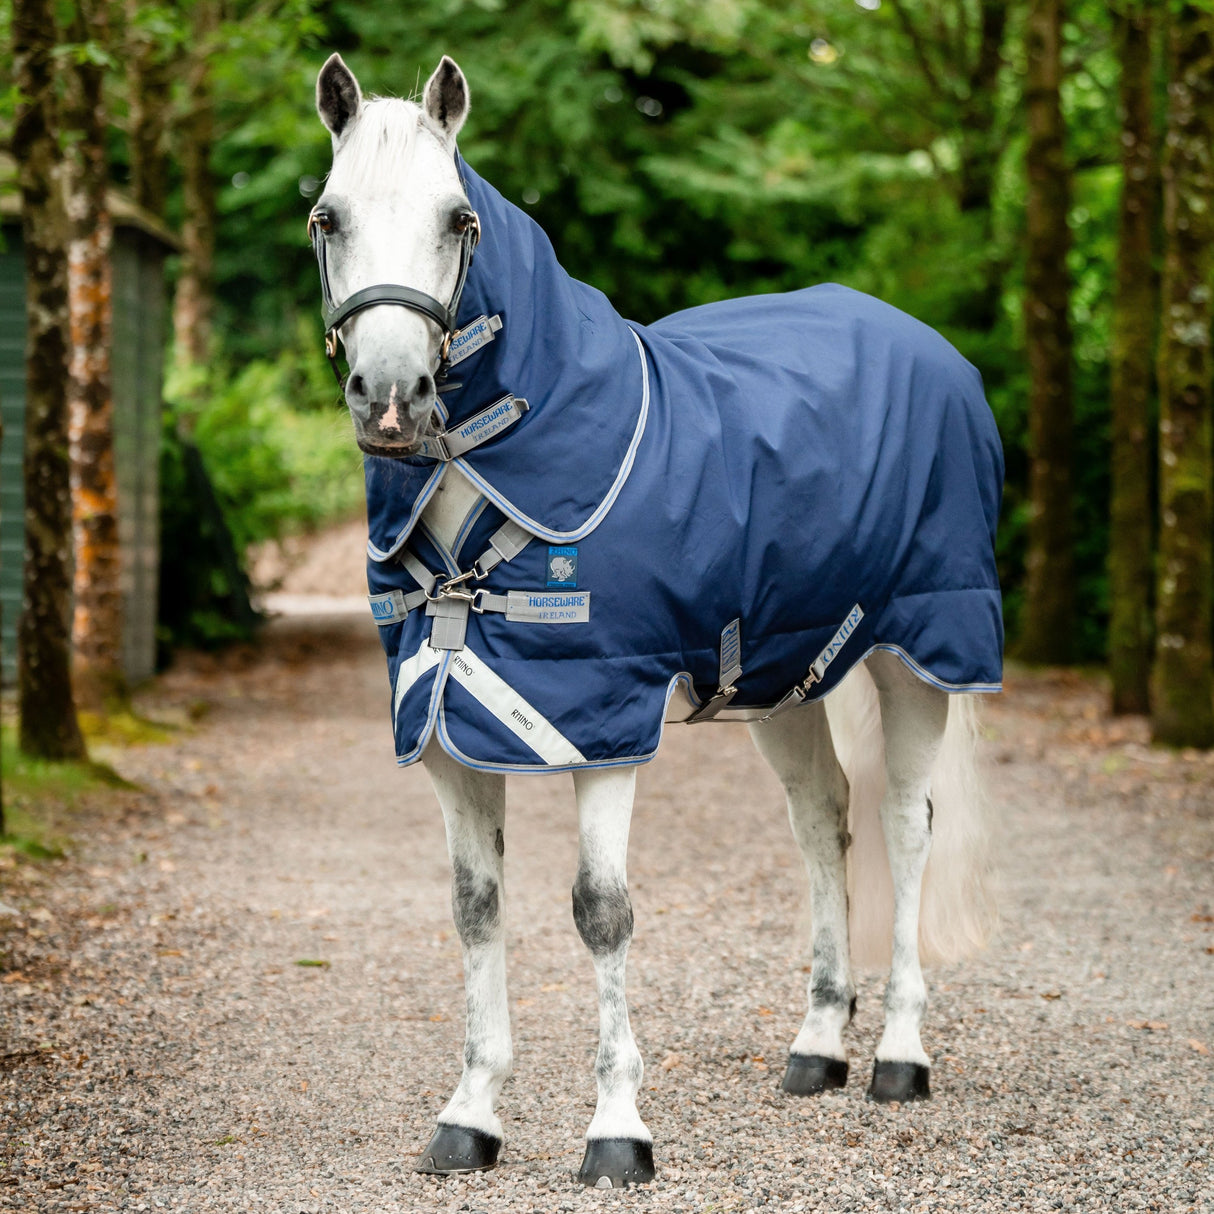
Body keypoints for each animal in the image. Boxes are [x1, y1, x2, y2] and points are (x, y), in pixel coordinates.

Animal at [309, 52, 1004, 1189]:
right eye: (328, 217)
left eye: (460, 220)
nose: (392, 398)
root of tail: (931, 349)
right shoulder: (448, 725)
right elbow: (475, 906)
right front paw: (470, 1114)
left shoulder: (601, 724)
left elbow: (601, 912)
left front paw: (616, 1129)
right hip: (783, 677)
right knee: (823, 819)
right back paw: (818, 1045)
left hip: (920, 653)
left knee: (906, 825)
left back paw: (900, 1054)